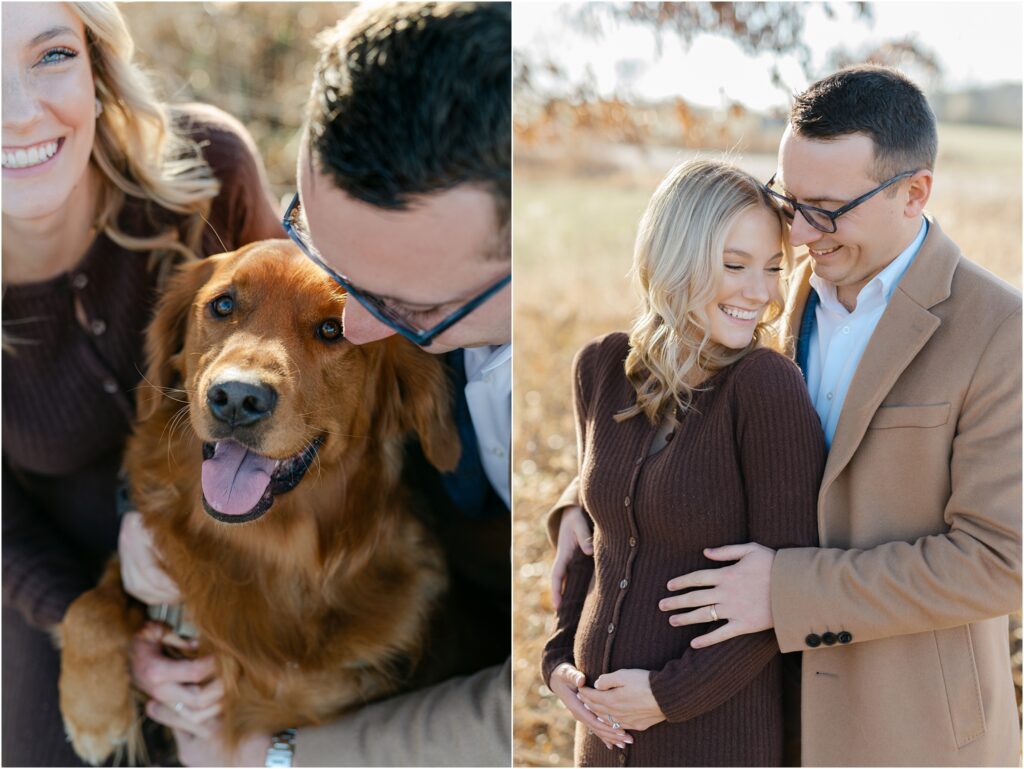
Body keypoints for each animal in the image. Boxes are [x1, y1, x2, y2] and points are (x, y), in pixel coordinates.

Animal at [56, 239, 456, 765]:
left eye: (332, 330)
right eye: (223, 305)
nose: (236, 398)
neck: (264, 550)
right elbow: (90, 606)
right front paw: (93, 715)